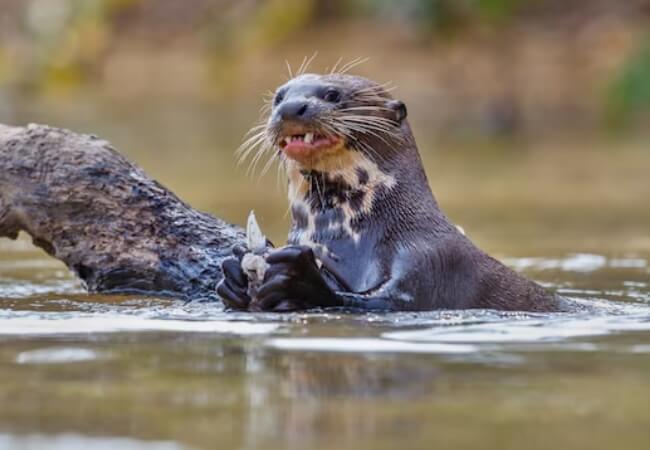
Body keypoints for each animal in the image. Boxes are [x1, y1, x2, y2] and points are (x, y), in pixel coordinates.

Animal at [216, 72, 565, 312]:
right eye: (278, 97)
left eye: (333, 94)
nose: (290, 107)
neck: (351, 235)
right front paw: (234, 275)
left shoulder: (432, 262)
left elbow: (385, 301)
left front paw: (295, 278)